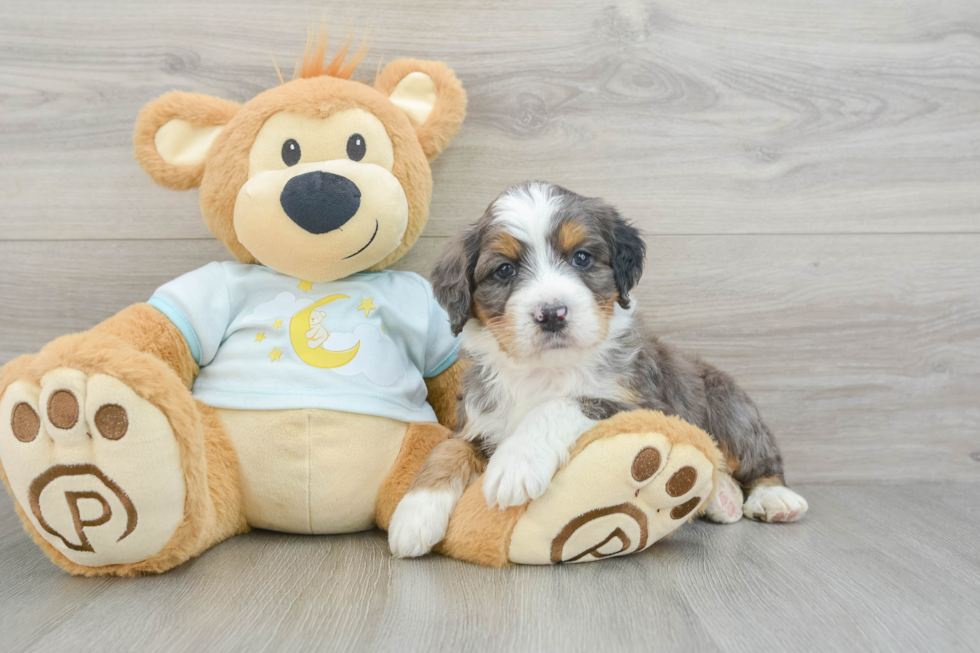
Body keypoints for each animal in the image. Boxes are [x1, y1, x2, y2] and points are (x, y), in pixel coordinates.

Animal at [386, 182, 808, 556]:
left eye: (582, 258)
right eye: (504, 270)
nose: (551, 313)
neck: (545, 372)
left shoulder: (643, 405)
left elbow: (562, 404)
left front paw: (517, 463)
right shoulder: (478, 422)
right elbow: (445, 451)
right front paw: (414, 514)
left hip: (729, 410)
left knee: (759, 458)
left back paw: (774, 498)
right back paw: (722, 497)